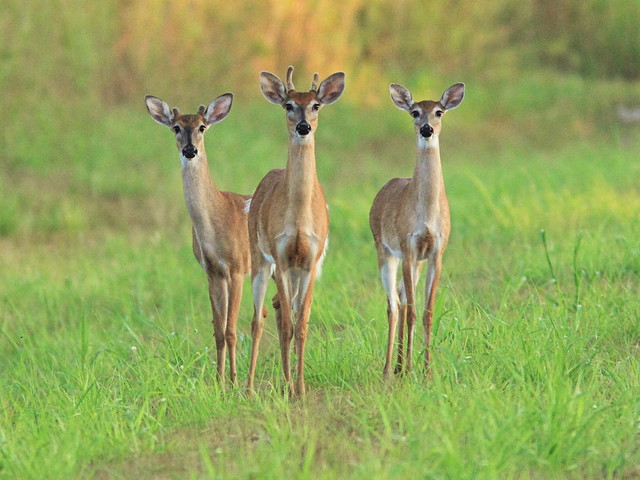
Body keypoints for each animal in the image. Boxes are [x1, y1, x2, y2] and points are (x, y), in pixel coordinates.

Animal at [145, 93, 250, 386]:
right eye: (176, 127)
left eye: (202, 126)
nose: (190, 150)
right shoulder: (212, 271)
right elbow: (218, 331)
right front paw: (219, 381)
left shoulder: (237, 267)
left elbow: (232, 330)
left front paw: (234, 382)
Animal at [246, 67, 344, 398]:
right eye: (288, 105)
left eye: (316, 105)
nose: (303, 127)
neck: (300, 218)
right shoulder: (282, 256)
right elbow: (289, 325)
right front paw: (290, 385)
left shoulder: (311, 261)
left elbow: (301, 325)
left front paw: (299, 387)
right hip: (259, 258)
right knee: (258, 319)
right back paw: (248, 386)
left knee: (278, 309)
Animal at [370, 80, 464, 376]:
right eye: (414, 112)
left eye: (439, 112)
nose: (426, 129)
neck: (426, 214)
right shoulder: (408, 245)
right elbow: (411, 311)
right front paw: (413, 368)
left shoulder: (435, 251)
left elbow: (427, 312)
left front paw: (427, 369)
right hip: (385, 250)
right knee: (393, 304)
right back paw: (390, 367)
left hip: (413, 261)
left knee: (399, 297)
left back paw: (400, 365)